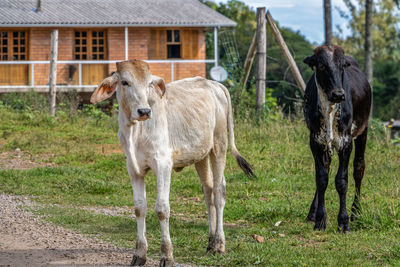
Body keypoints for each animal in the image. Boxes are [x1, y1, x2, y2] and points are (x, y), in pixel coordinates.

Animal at [90, 60, 253, 267]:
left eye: (149, 84)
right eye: (125, 82)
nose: (144, 111)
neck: (135, 131)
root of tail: (215, 84)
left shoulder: (163, 165)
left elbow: (162, 209)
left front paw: (167, 256)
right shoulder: (133, 169)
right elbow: (139, 208)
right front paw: (139, 254)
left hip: (219, 145)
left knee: (219, 192)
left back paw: (219, 245)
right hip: (201, 155)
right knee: (208, 192)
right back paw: (210, 244)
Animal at [304, 45, 372, 232]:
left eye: (342, 66)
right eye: (321, 65)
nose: (338, 94)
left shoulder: (345, 143)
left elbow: (342, 181)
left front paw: (344, 221)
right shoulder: (315, 141)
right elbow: (321, 179)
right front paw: (320, 219)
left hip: (363, 130)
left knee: (359, 169)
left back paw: (356, 212)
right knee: (326, 169)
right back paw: (312, 213)